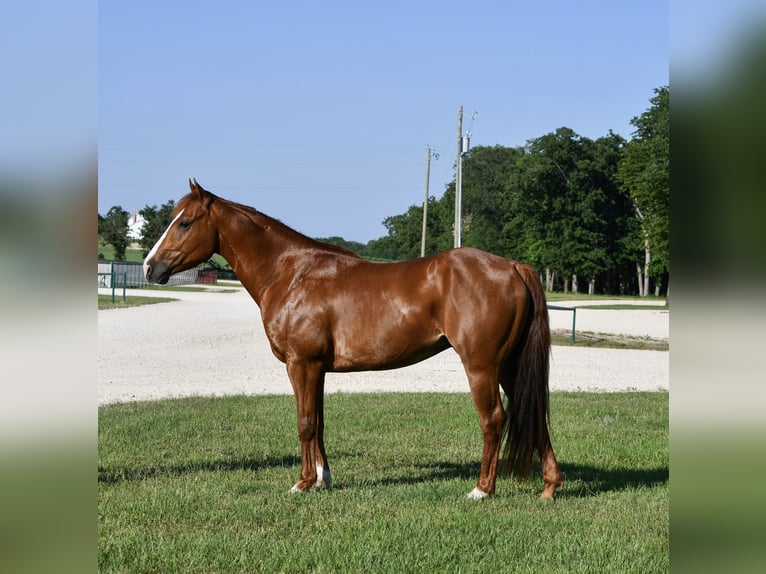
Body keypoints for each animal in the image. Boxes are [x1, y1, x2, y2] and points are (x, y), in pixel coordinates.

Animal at [144, 179, 563, 500]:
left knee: (493, 419)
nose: (150, 267)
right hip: (509, 365)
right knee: (534, 415)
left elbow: (305, 423)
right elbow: (319, 422)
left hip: (481, 366)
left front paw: (303, 483)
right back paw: (549, 487)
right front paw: (323, 479)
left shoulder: (301, 363)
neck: (292, 273)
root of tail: (513, 266)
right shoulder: (317, 369)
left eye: (185, 223)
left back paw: (481, 490)